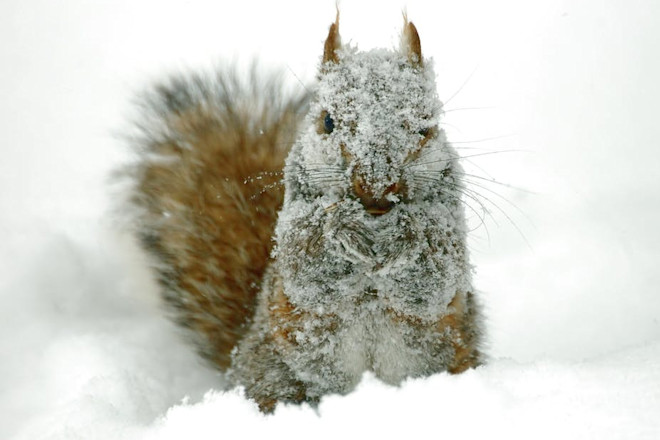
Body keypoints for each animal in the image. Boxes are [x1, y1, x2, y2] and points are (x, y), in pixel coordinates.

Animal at [126, 13, 483, 413]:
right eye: (327, 121)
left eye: (425, 126)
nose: (376, 189)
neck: (376, 228)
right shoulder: (293, 235)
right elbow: (310, 271)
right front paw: (340, 226)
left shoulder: (450, 234)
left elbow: (431, 281)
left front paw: (409, 230)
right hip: (274, 373)